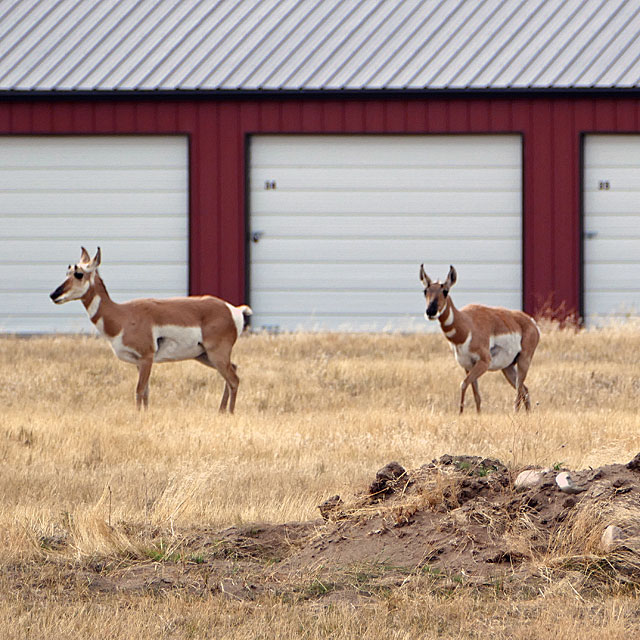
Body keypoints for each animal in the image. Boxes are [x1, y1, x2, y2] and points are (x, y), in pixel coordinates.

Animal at [49, 248, 252, 412]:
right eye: (67, 271)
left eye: (79, 274)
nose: (53, 295)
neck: (122, 315)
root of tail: (233, 309)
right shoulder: (139, 363)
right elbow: (146, 392)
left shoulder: (147, 358)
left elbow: (139, 390)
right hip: (204, 356)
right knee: (233, 372)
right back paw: (221, 411)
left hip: (216, 355)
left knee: (234, 379)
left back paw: (230, 413)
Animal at [420, 264, 540, 416]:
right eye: (425, 291)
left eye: (445, 291)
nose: (430, 312)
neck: (467, 325)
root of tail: (531, 322)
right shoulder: (468, 366)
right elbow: (476, 394)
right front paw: (477, 414)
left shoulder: (483, 362)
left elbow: (463, 384)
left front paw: (460, 413)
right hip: (507, 368)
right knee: (524, 389)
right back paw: (527, 413)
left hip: (524, 361)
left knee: (519, 389)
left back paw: (515, 413)